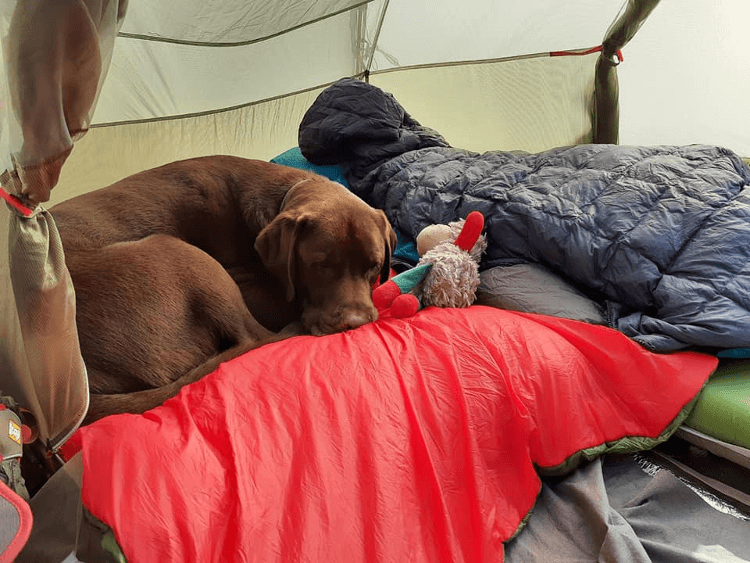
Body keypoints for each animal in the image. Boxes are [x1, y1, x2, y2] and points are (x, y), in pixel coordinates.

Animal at [49, 154, 396, 424]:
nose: (354, 323)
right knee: (256, 337)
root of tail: (81, 391)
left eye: (375, 265)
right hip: (182, 255)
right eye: (320, 264)